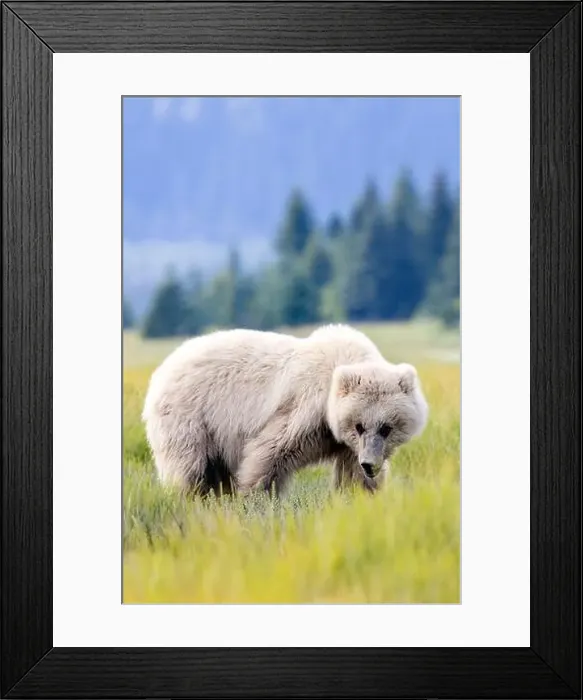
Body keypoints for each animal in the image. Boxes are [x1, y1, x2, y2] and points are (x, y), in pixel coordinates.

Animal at [142, 324, 428, 497]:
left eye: (386, 427)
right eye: (359, 426)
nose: (370, 464)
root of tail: (161, 370)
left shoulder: (346, 445)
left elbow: (353, 478)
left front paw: (361, 497)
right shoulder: (305, 410)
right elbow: (269, 453)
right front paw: (256, 499)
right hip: (190, 418)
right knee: (188, 470)